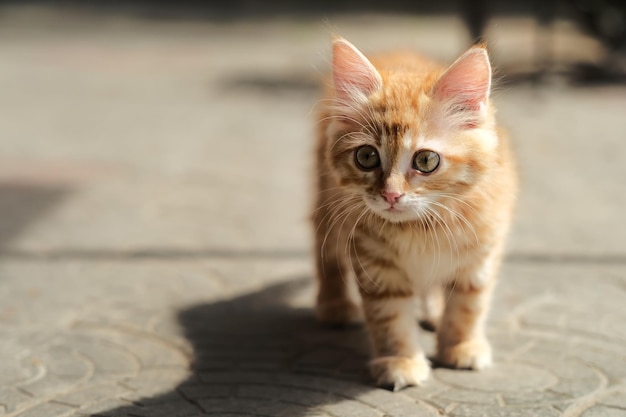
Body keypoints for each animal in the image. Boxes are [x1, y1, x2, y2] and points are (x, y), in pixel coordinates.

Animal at [310, 39, 516, 390]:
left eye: (426, 161)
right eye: (366, 157)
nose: (391, 195)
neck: (421, 230)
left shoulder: (481, 253)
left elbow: (468, 305)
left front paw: (461, 345)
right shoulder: (375, 263)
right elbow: (390, 317)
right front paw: (401, 361)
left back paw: (434, 313)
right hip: (329, 208)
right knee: (328, 257)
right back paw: (335, 306)